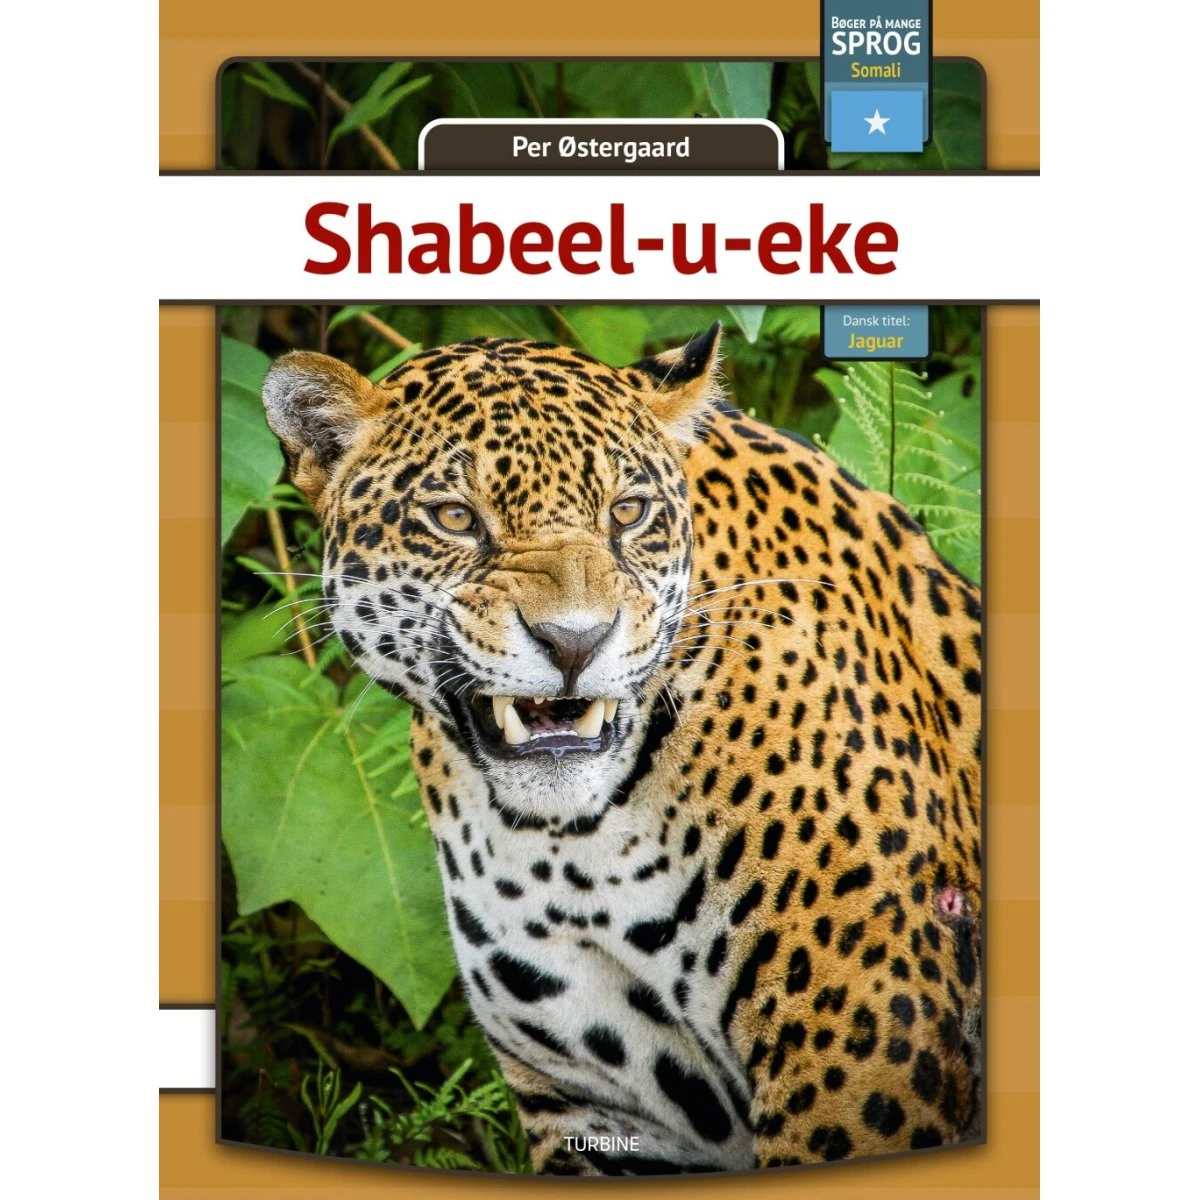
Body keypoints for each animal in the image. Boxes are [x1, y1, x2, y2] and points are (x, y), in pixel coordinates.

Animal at [261, 322, 983, 1175]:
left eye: (629, 512)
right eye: (455, 518)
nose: (575, 641)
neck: (575, 849)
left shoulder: (863, 1058)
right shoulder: (598, 1106)